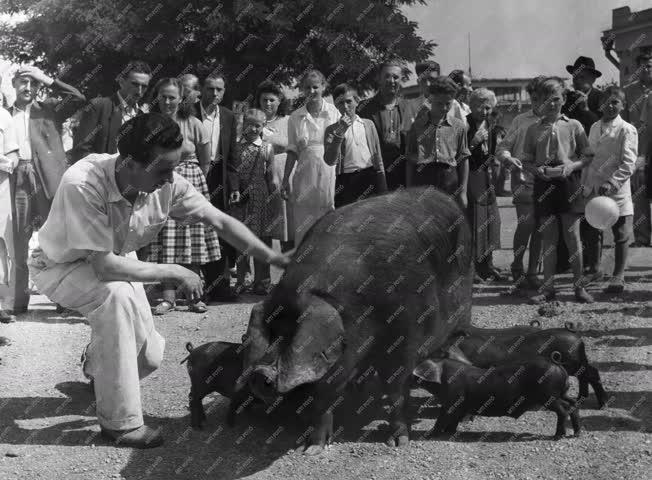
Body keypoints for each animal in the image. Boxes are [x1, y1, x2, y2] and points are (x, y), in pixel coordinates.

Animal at [237, 188, 472, 454]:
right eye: (272, 333)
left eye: (291, 335)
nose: (259, 373)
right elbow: (322, 400)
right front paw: (311, 450)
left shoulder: (406, 337)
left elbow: (396, 390)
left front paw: (397, 443)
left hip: (460, 315)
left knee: (455, 347)